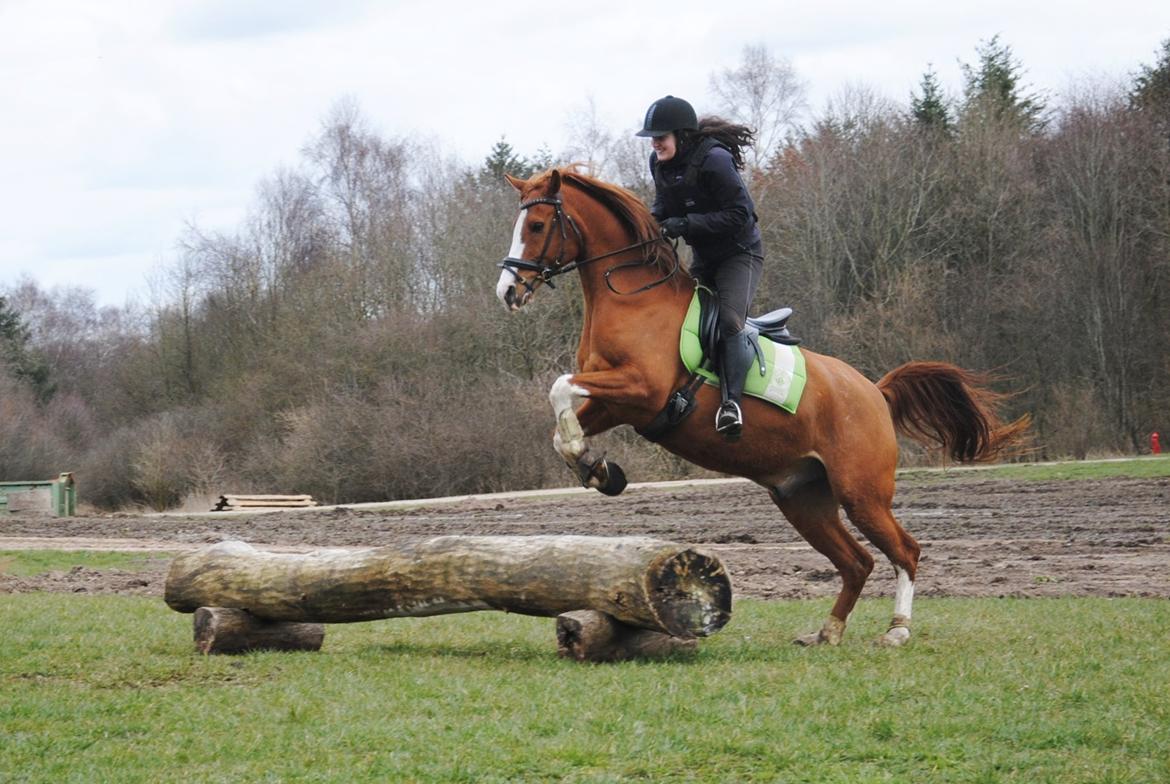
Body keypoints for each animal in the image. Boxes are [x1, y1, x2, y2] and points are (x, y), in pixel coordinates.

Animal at [493, 168, 1024, 645]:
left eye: (536, 225)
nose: (507, 292)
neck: (632, 298)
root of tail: (875, 392)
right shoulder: (621, 404)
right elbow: (562, 425)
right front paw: (597, 469)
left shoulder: (642, 390)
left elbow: (559, 387)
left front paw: (595, 466)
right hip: (803, 500)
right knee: (858, 562)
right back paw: (827, 632)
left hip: (862, 493)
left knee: (905, 551)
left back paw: (897, 630)